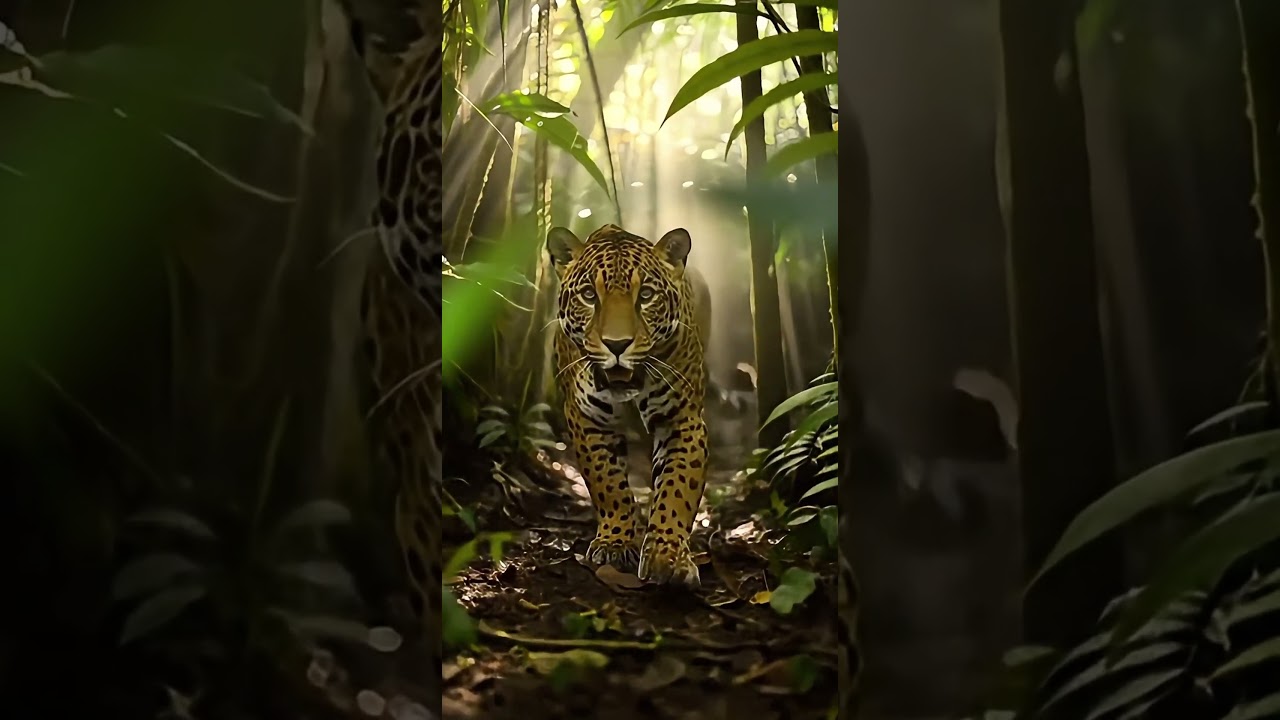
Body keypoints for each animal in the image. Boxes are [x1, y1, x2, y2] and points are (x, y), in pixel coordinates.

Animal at [547, 223, 712, 586]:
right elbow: (607, 482)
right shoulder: (587, 418)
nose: (618, 345)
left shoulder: (682, 419)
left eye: (646, 295)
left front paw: (667, 556)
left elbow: (677, 489)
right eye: (589, 295)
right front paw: (615, 543)